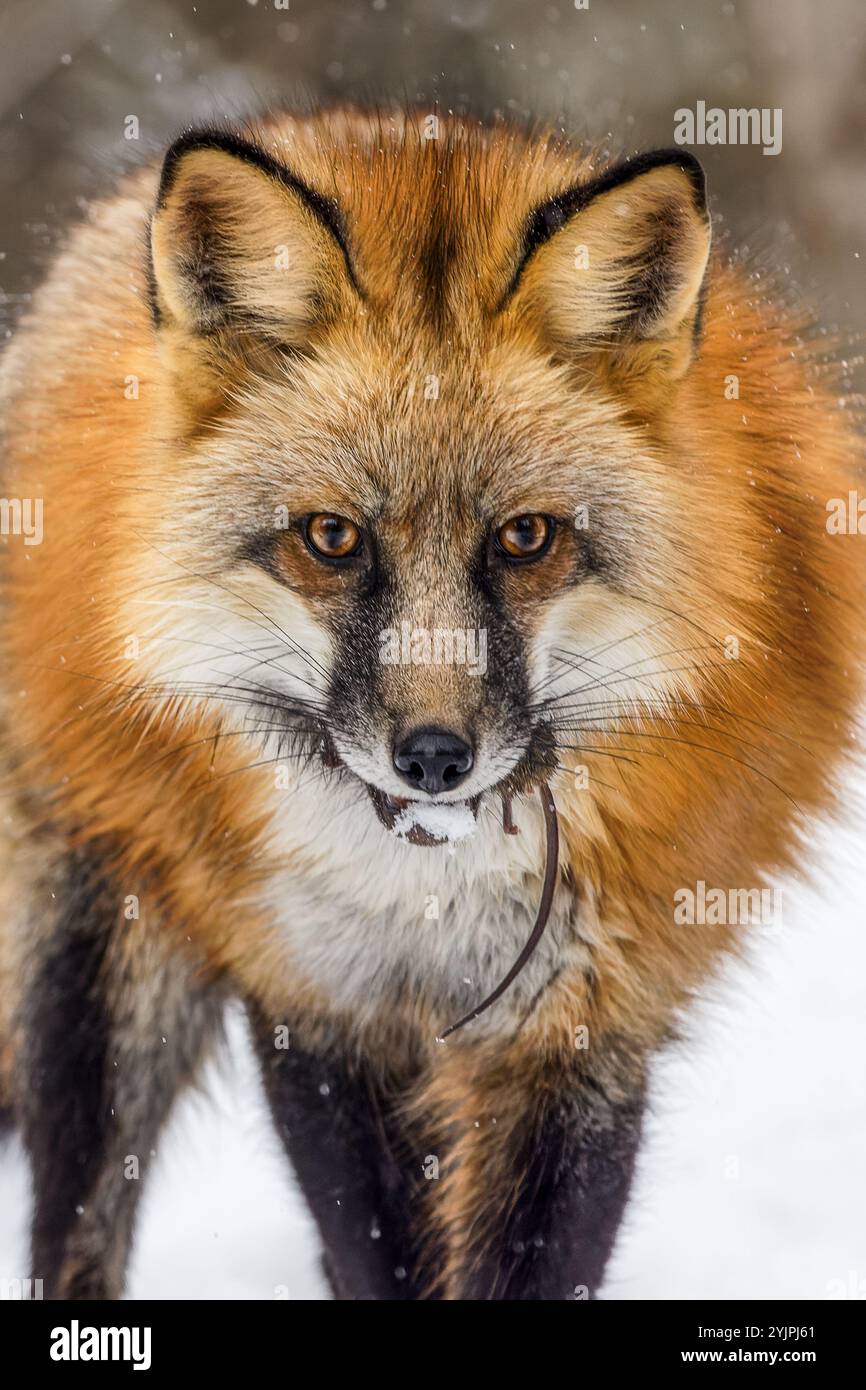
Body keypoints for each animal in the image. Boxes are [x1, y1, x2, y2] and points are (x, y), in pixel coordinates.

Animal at [0, 107, 862, 1301]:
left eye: (525, 538)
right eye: (331, 538)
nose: (434, 755)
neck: (423, 893)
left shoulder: (579, 1022)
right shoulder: (318, 1002)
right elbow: (376, 1252)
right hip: (105, 947)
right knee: (75, 1221)